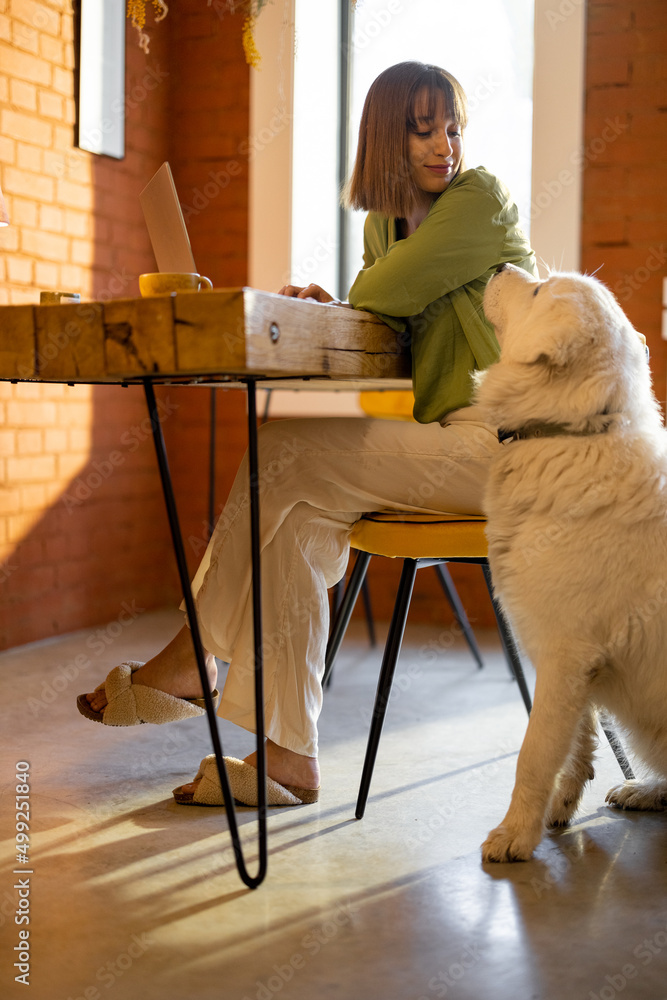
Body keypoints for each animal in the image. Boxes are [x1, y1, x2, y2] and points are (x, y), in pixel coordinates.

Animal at [474, 262, 667, 864]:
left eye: (538, 289)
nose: (496, 265)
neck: (569, 431)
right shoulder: (573, 662)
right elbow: (577, 741)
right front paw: (559, 808)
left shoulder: (562, 654)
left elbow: (535, 753)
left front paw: (514, 835)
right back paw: (645, 789)